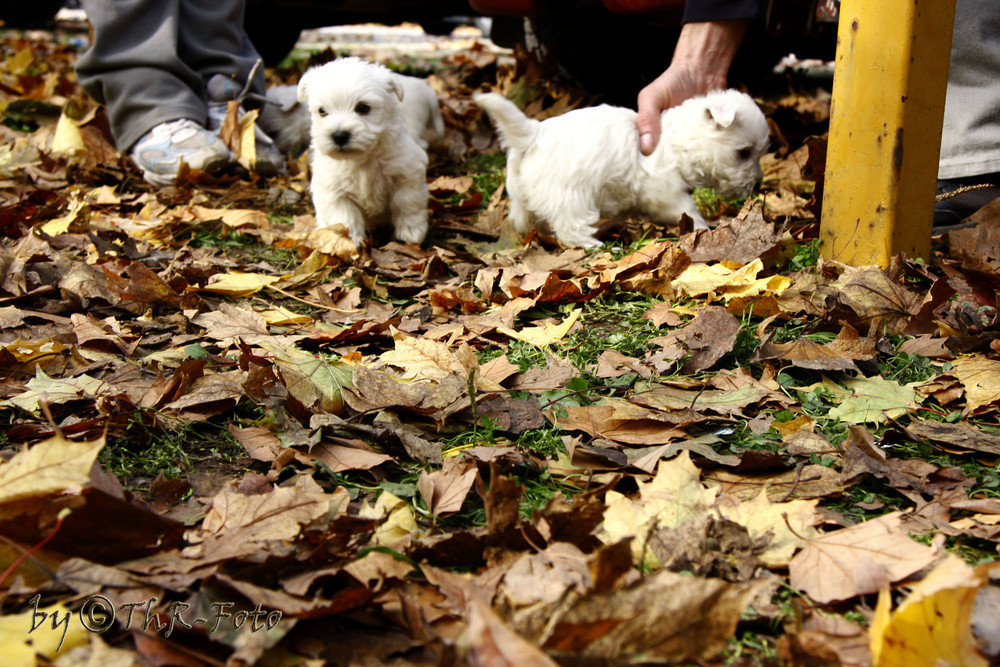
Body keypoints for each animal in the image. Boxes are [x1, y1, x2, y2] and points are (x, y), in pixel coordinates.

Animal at [300, 57, 434, 245]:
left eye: (363, 108)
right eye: (322, 111)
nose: (339, 135)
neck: (361, 159)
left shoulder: (406, 175)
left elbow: (407, 203)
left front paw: (411, 231)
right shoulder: (335, 192)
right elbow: (346, 218)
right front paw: (348, 242)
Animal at [472, 90, 768, 249]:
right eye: (744, 152)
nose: (758, 184)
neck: (679, 140)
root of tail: (533, 134)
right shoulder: (664, 190)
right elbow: (687, 208)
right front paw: (704, 227)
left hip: (520, 194)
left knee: (524, 217)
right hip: (572, 195)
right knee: (570, 227)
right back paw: (594, 244)